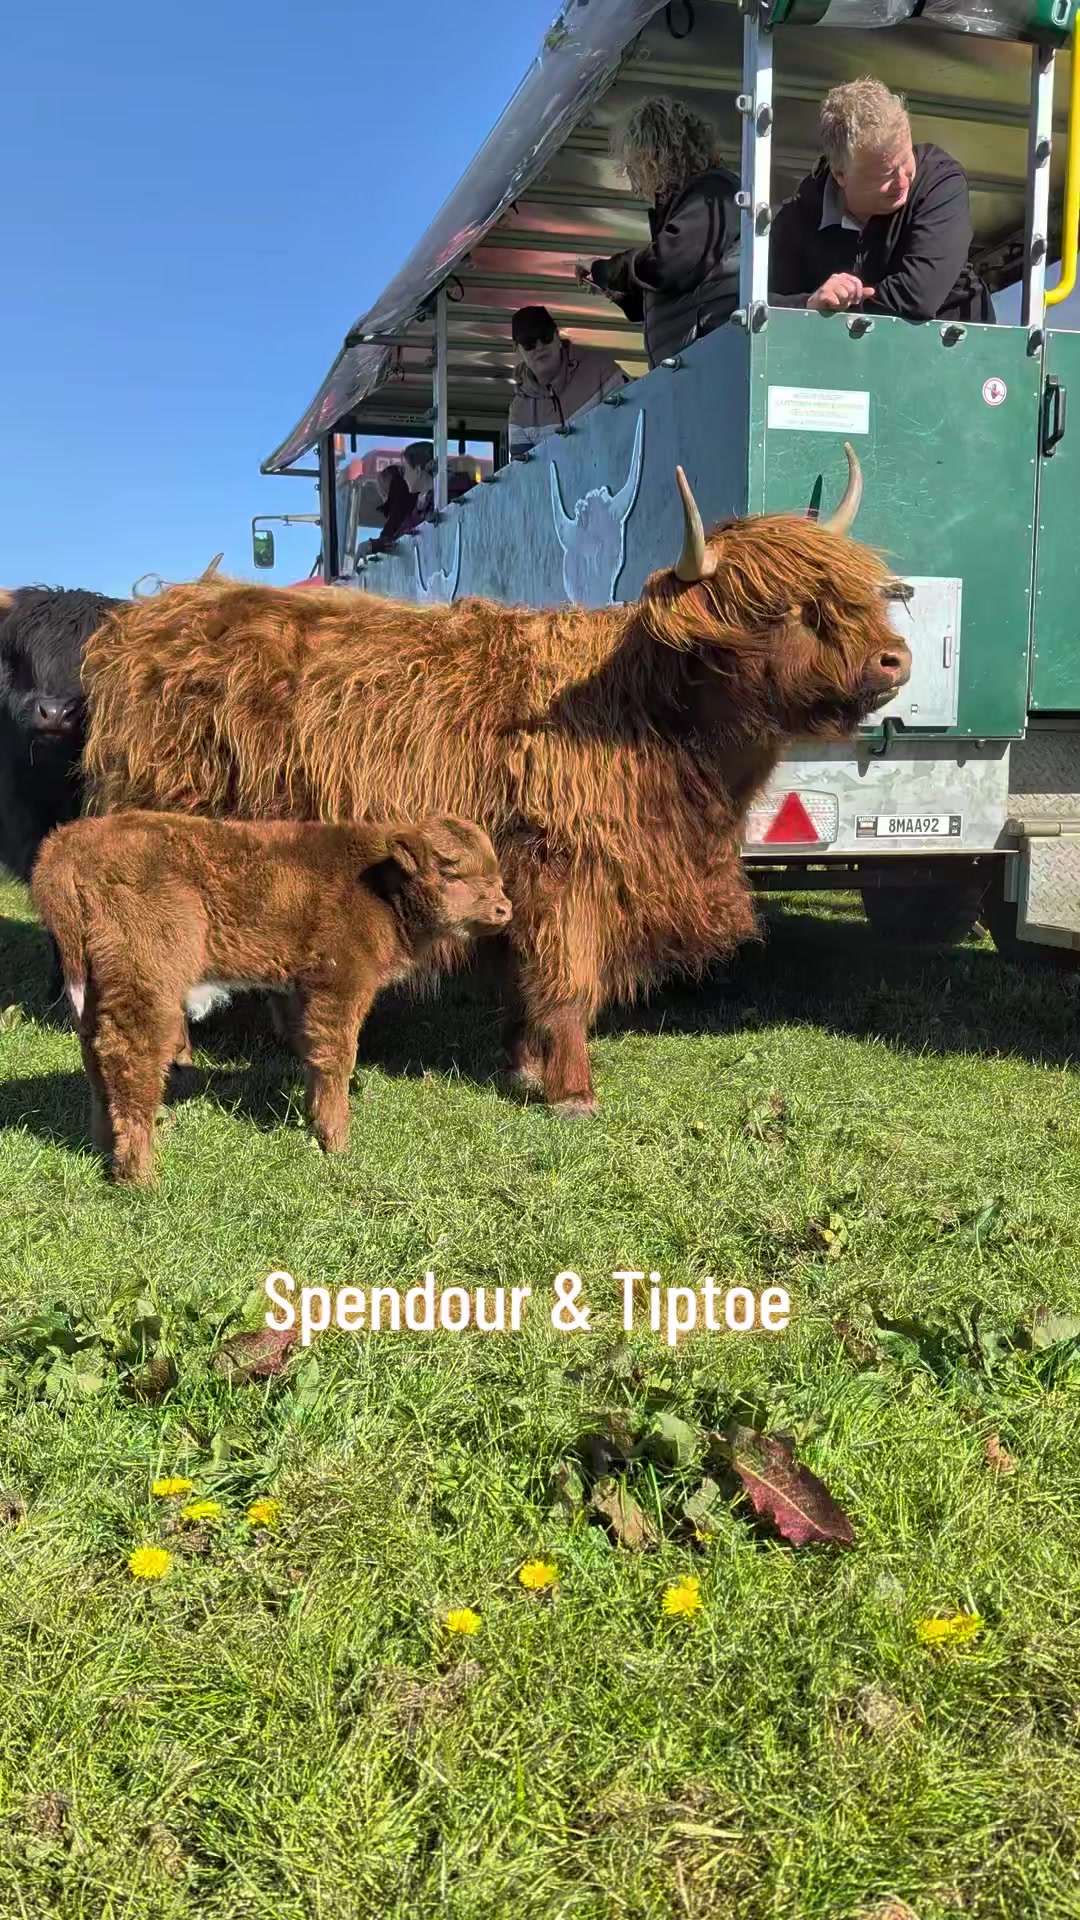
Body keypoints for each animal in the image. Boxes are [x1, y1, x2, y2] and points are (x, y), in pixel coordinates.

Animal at [31, 810, 511, 1184]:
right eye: (451, 872)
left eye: (496, 876)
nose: (505, 908)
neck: (378, 886)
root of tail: (69, 842)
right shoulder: (340, 984)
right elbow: (336, 1055)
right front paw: (337, 1141)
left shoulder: (303, 990)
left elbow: (310, 1052)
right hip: (145, 977)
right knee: (130, 1056)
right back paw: (140, 1173)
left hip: (98, 985)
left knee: (95, 1054)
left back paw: (103, 1146)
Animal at [80, 446, 911, 1118]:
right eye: (784, 609)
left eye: (858, 595)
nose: (894, 659)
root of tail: (149, 618)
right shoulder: (567, 870)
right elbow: (567, 984)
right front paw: (573, 1092)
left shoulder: (521, 876)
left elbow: (525, 979)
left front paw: (523, 1067)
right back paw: (180, 1058)